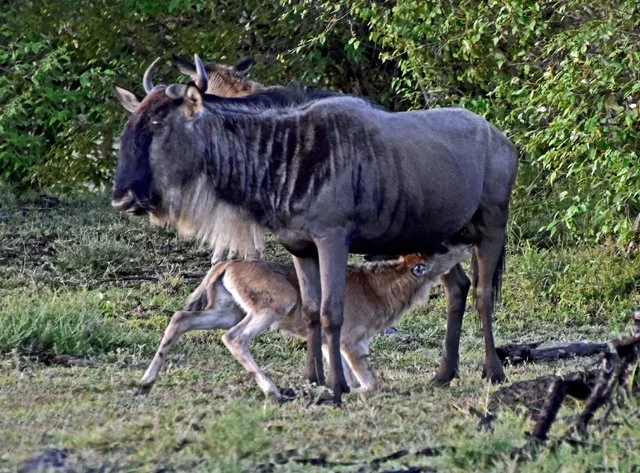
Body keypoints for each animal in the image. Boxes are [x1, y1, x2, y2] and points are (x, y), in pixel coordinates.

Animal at [136, 239, 474, 400]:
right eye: (441, 247)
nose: (466, 242)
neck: (379, 288)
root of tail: (226, 266)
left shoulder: (329, 342)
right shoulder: (352, 342)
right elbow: (369, 383)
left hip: (228, 310)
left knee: (180, 317)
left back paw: (144, 384)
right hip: (273, 306)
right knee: (234, 338)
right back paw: (274, 391)